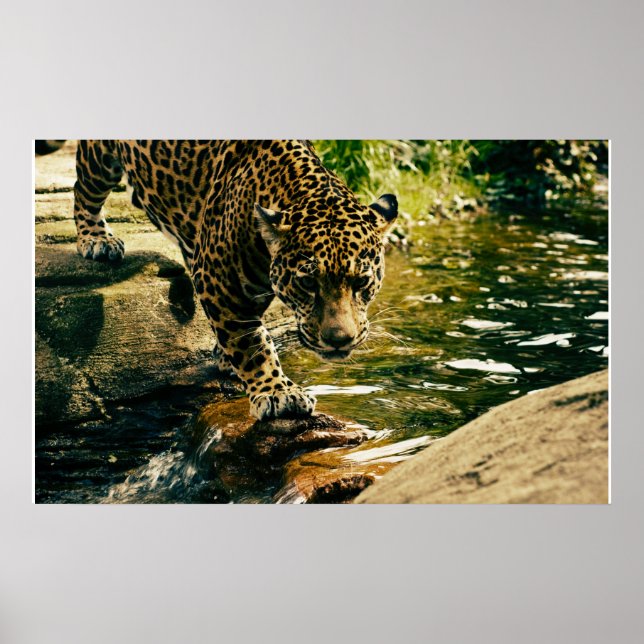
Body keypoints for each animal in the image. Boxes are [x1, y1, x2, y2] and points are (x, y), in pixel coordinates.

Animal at [72, 140, 398, 420]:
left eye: (361, 282)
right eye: (307, 283)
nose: (338, 341)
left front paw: (227, 357)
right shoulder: (219, 281)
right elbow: (252, 343)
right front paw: (278, 393)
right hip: (99, 159)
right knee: (83, 189)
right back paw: (97, 239)